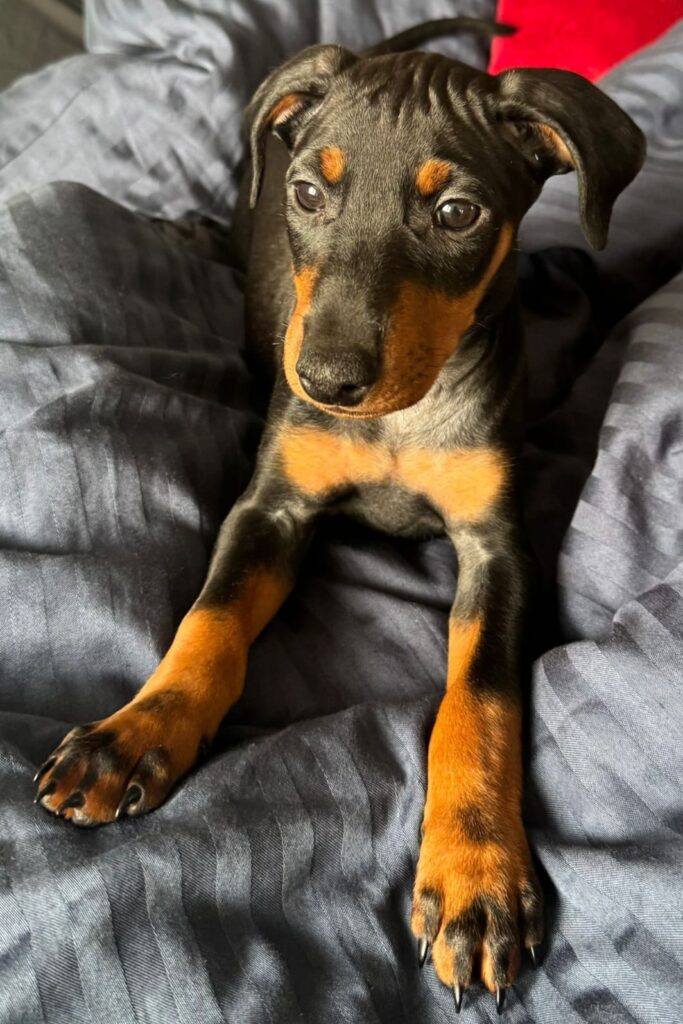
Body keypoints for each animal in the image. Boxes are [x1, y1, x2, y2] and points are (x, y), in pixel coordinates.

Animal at [33, 16, 645, 1013]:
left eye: (457, 214)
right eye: (309, 193)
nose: (323, 380)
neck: (398, 417)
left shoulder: (497, 547)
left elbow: (476, 696)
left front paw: (474, 873)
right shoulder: (270, 507)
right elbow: (209, 621)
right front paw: (138, 732)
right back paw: (183, 227)